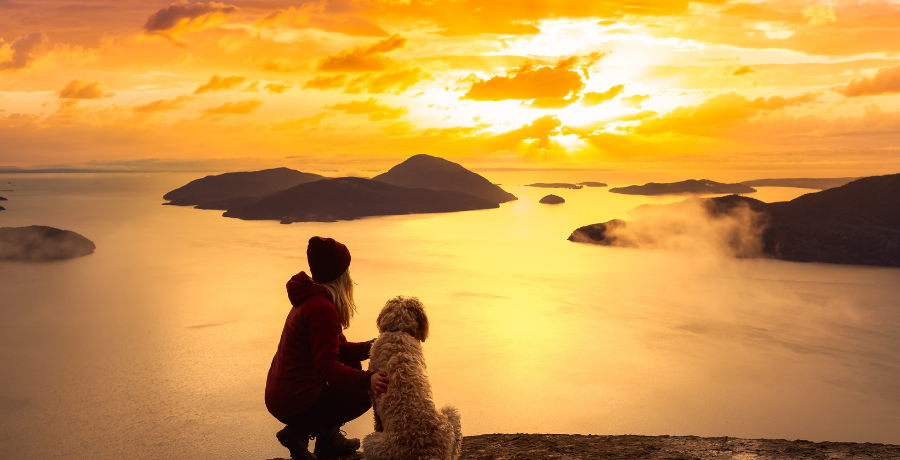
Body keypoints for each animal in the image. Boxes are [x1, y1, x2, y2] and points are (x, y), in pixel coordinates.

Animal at [362, 296, 464, 458]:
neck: (398, 331)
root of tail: (423, 451)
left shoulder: (373, 393)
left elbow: (377, 419)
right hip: (451, 416)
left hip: (371, 443)